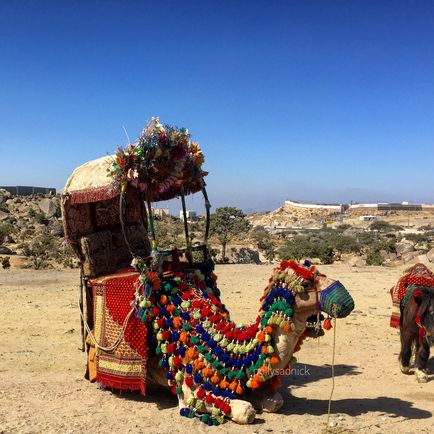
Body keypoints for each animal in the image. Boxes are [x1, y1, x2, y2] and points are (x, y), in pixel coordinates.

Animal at [136, 260, 356, 426]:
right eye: (307, 283)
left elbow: (276, 401)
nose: (347, 300)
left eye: (319, 272)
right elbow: (245, 411)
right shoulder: (189, 388)